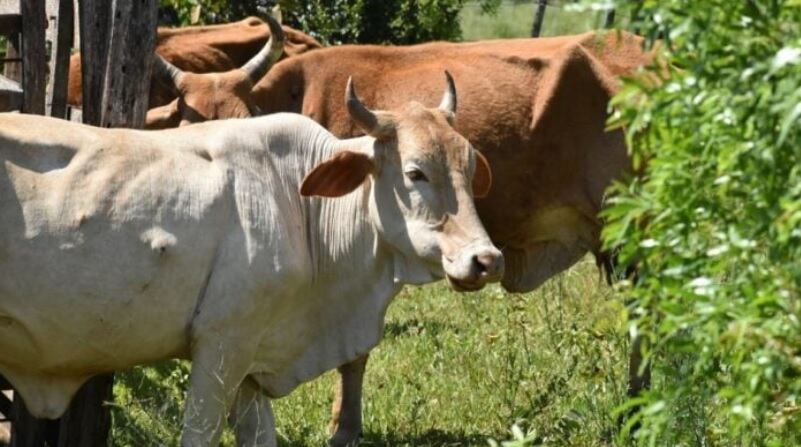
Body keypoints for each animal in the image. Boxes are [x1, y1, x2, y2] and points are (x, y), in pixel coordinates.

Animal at [0, 75, 500, 446]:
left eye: (470, 167)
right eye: (415, 173)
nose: (486, 259)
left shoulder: (252, 365)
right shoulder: (223, 344)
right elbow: (198, 434)